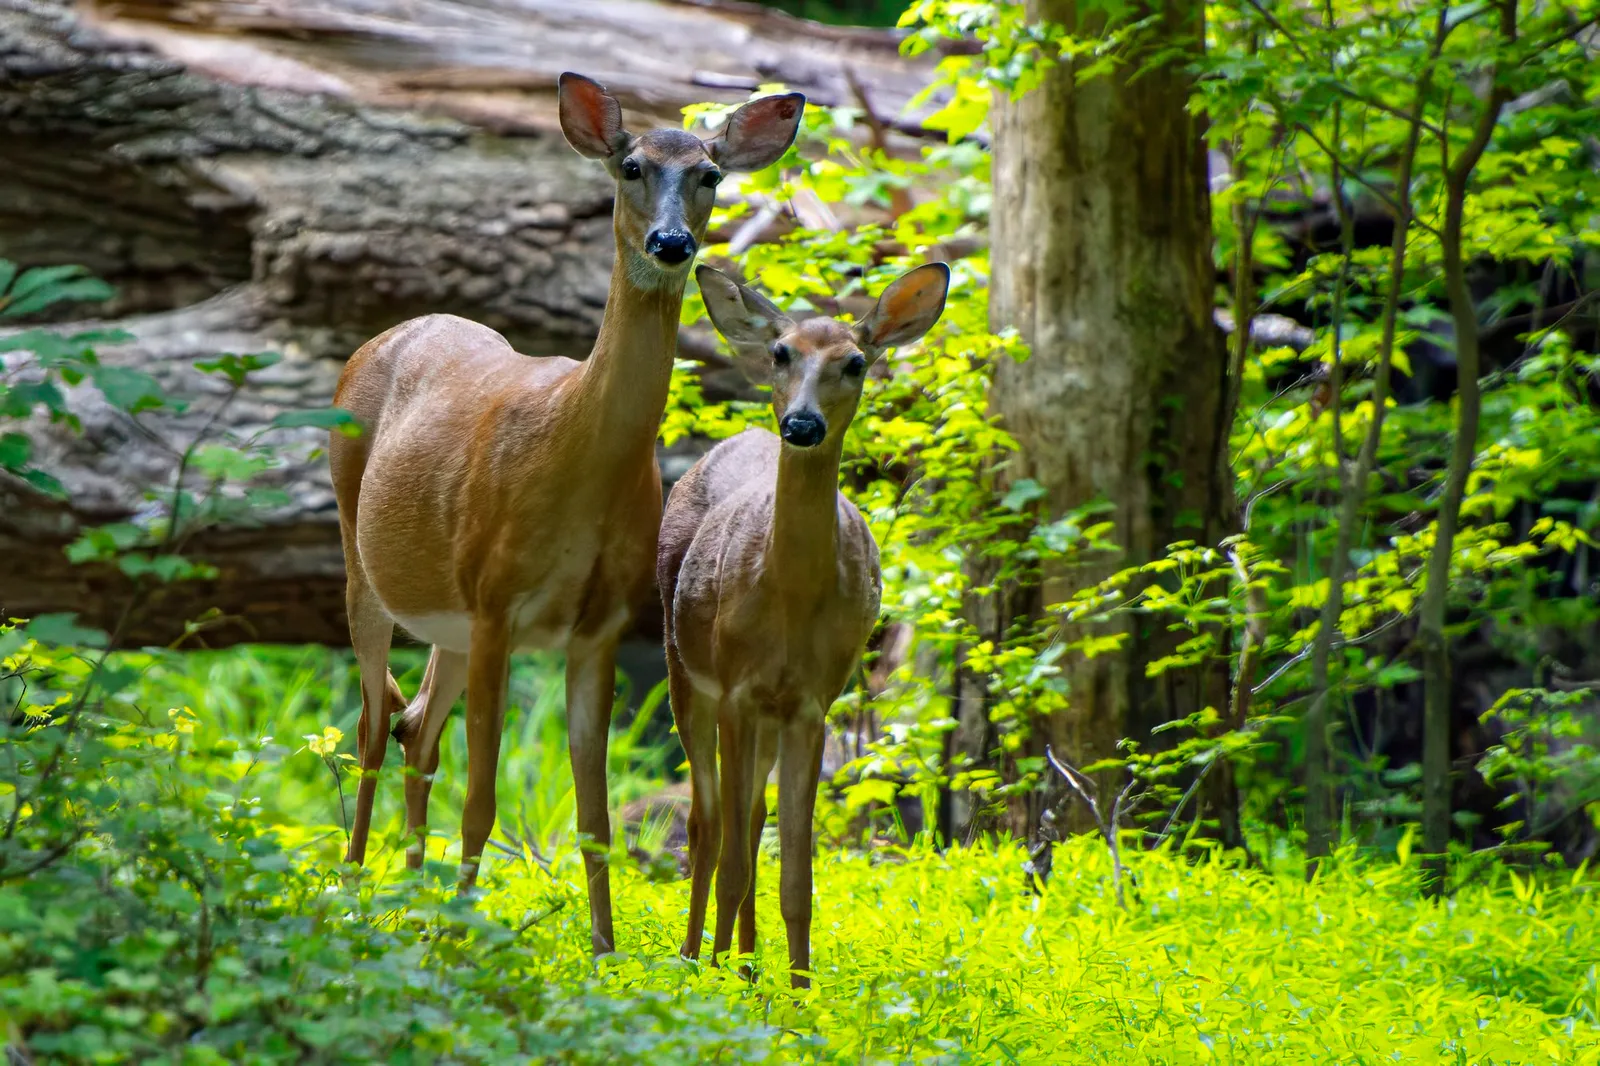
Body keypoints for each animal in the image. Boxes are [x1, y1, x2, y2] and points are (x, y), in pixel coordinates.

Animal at [327, 73, 804, 955]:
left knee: (417, 725)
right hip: (362, 556)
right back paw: (355, 892)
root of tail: (384, 336)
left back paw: (408, 901)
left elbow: (597, 817)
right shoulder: (496, 603)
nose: (671, 243)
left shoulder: (598, 624)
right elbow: (483, 803)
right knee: (376, 722)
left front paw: (605, 953)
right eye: (630, 165)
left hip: (447, 617)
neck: (574, 460)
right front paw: (461, 938)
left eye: (710, 173)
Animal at [658, 260, 950, 987]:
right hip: (684, 672)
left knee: (750, 816)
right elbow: (735, 857)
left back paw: (742, 961)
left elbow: (798, 875)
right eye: (781, 353)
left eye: (856, 362)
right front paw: (722, 982)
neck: (787, 600)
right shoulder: (735, 689)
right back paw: (695, 957)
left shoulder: (813, 701)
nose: (803, 424)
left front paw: (796, 989)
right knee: (707, 823)